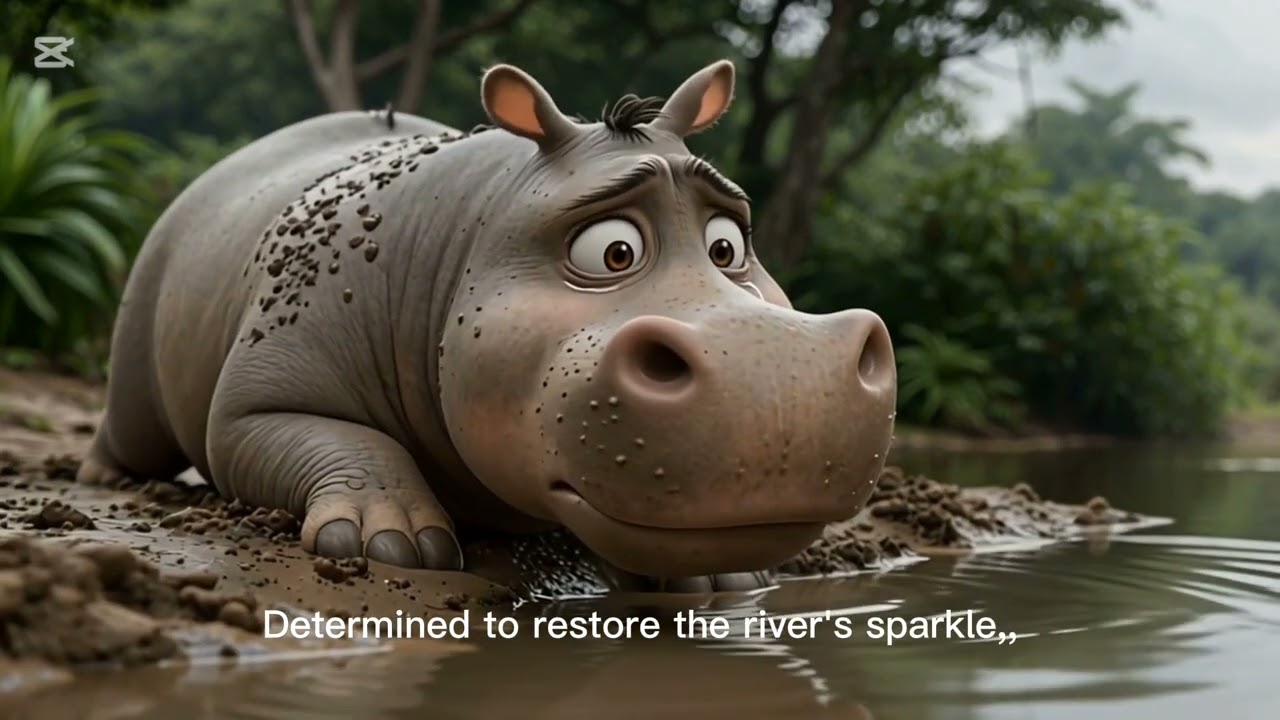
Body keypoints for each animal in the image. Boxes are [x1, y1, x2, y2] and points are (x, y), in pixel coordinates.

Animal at [78, 59, 897, 591]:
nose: (781, 369)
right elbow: (321, 435)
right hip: (150, 286)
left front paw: (725, 581)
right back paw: (104, 477)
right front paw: (388, 544)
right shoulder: (265, 392)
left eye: (728, 245)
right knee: (138, 421)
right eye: (613, 251)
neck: (486, 216)